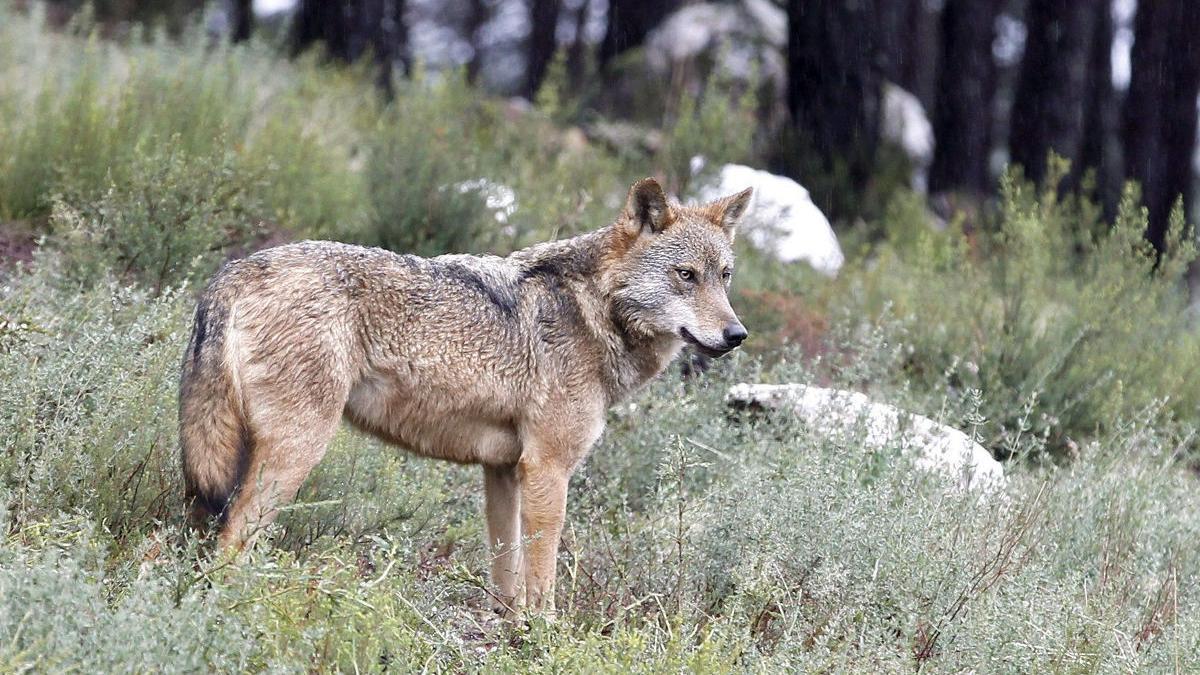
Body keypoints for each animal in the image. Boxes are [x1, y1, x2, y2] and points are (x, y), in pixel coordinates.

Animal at [178, 176, 748, 612]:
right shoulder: (547, 469)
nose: (737, 334)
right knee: (231, 540)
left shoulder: (503, 471)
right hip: (295, 454)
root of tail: (234, 271)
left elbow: (507, 574)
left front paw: (511, 630)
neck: (592, 312)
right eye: (685, 275)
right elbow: (542, 579)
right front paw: (547, 638)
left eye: (724, 277)